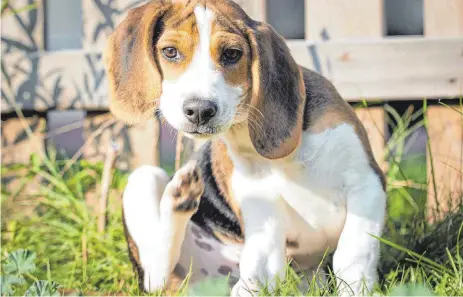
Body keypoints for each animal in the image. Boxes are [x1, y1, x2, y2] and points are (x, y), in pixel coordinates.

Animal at [104, 1, 388, 294]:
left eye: (232, 54)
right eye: (170, 52)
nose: (199, 110)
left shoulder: (366, 184)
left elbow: (352, 254)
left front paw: (356, 288)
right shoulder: (263, 212)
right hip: (143, 179)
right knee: (155, 272)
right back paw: (179, 197)